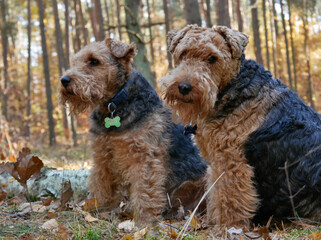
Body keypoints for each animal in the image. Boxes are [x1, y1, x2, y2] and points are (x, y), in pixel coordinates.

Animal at [58, 38, 206, 225]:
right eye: (75, 61)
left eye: (94, 61)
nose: (64, 80)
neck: (114, 105)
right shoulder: (103, 156)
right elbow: (101, 184)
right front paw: (96, 210)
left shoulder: (144, 158)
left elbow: (145, 191)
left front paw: (144, 221)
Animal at [160, 24, 320, 229]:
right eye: (183, 53)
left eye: (212, 58)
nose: (184, 87)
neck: (232, 86)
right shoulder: (216, 161)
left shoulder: (231, 161)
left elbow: (229, 198)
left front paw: (228, 228)